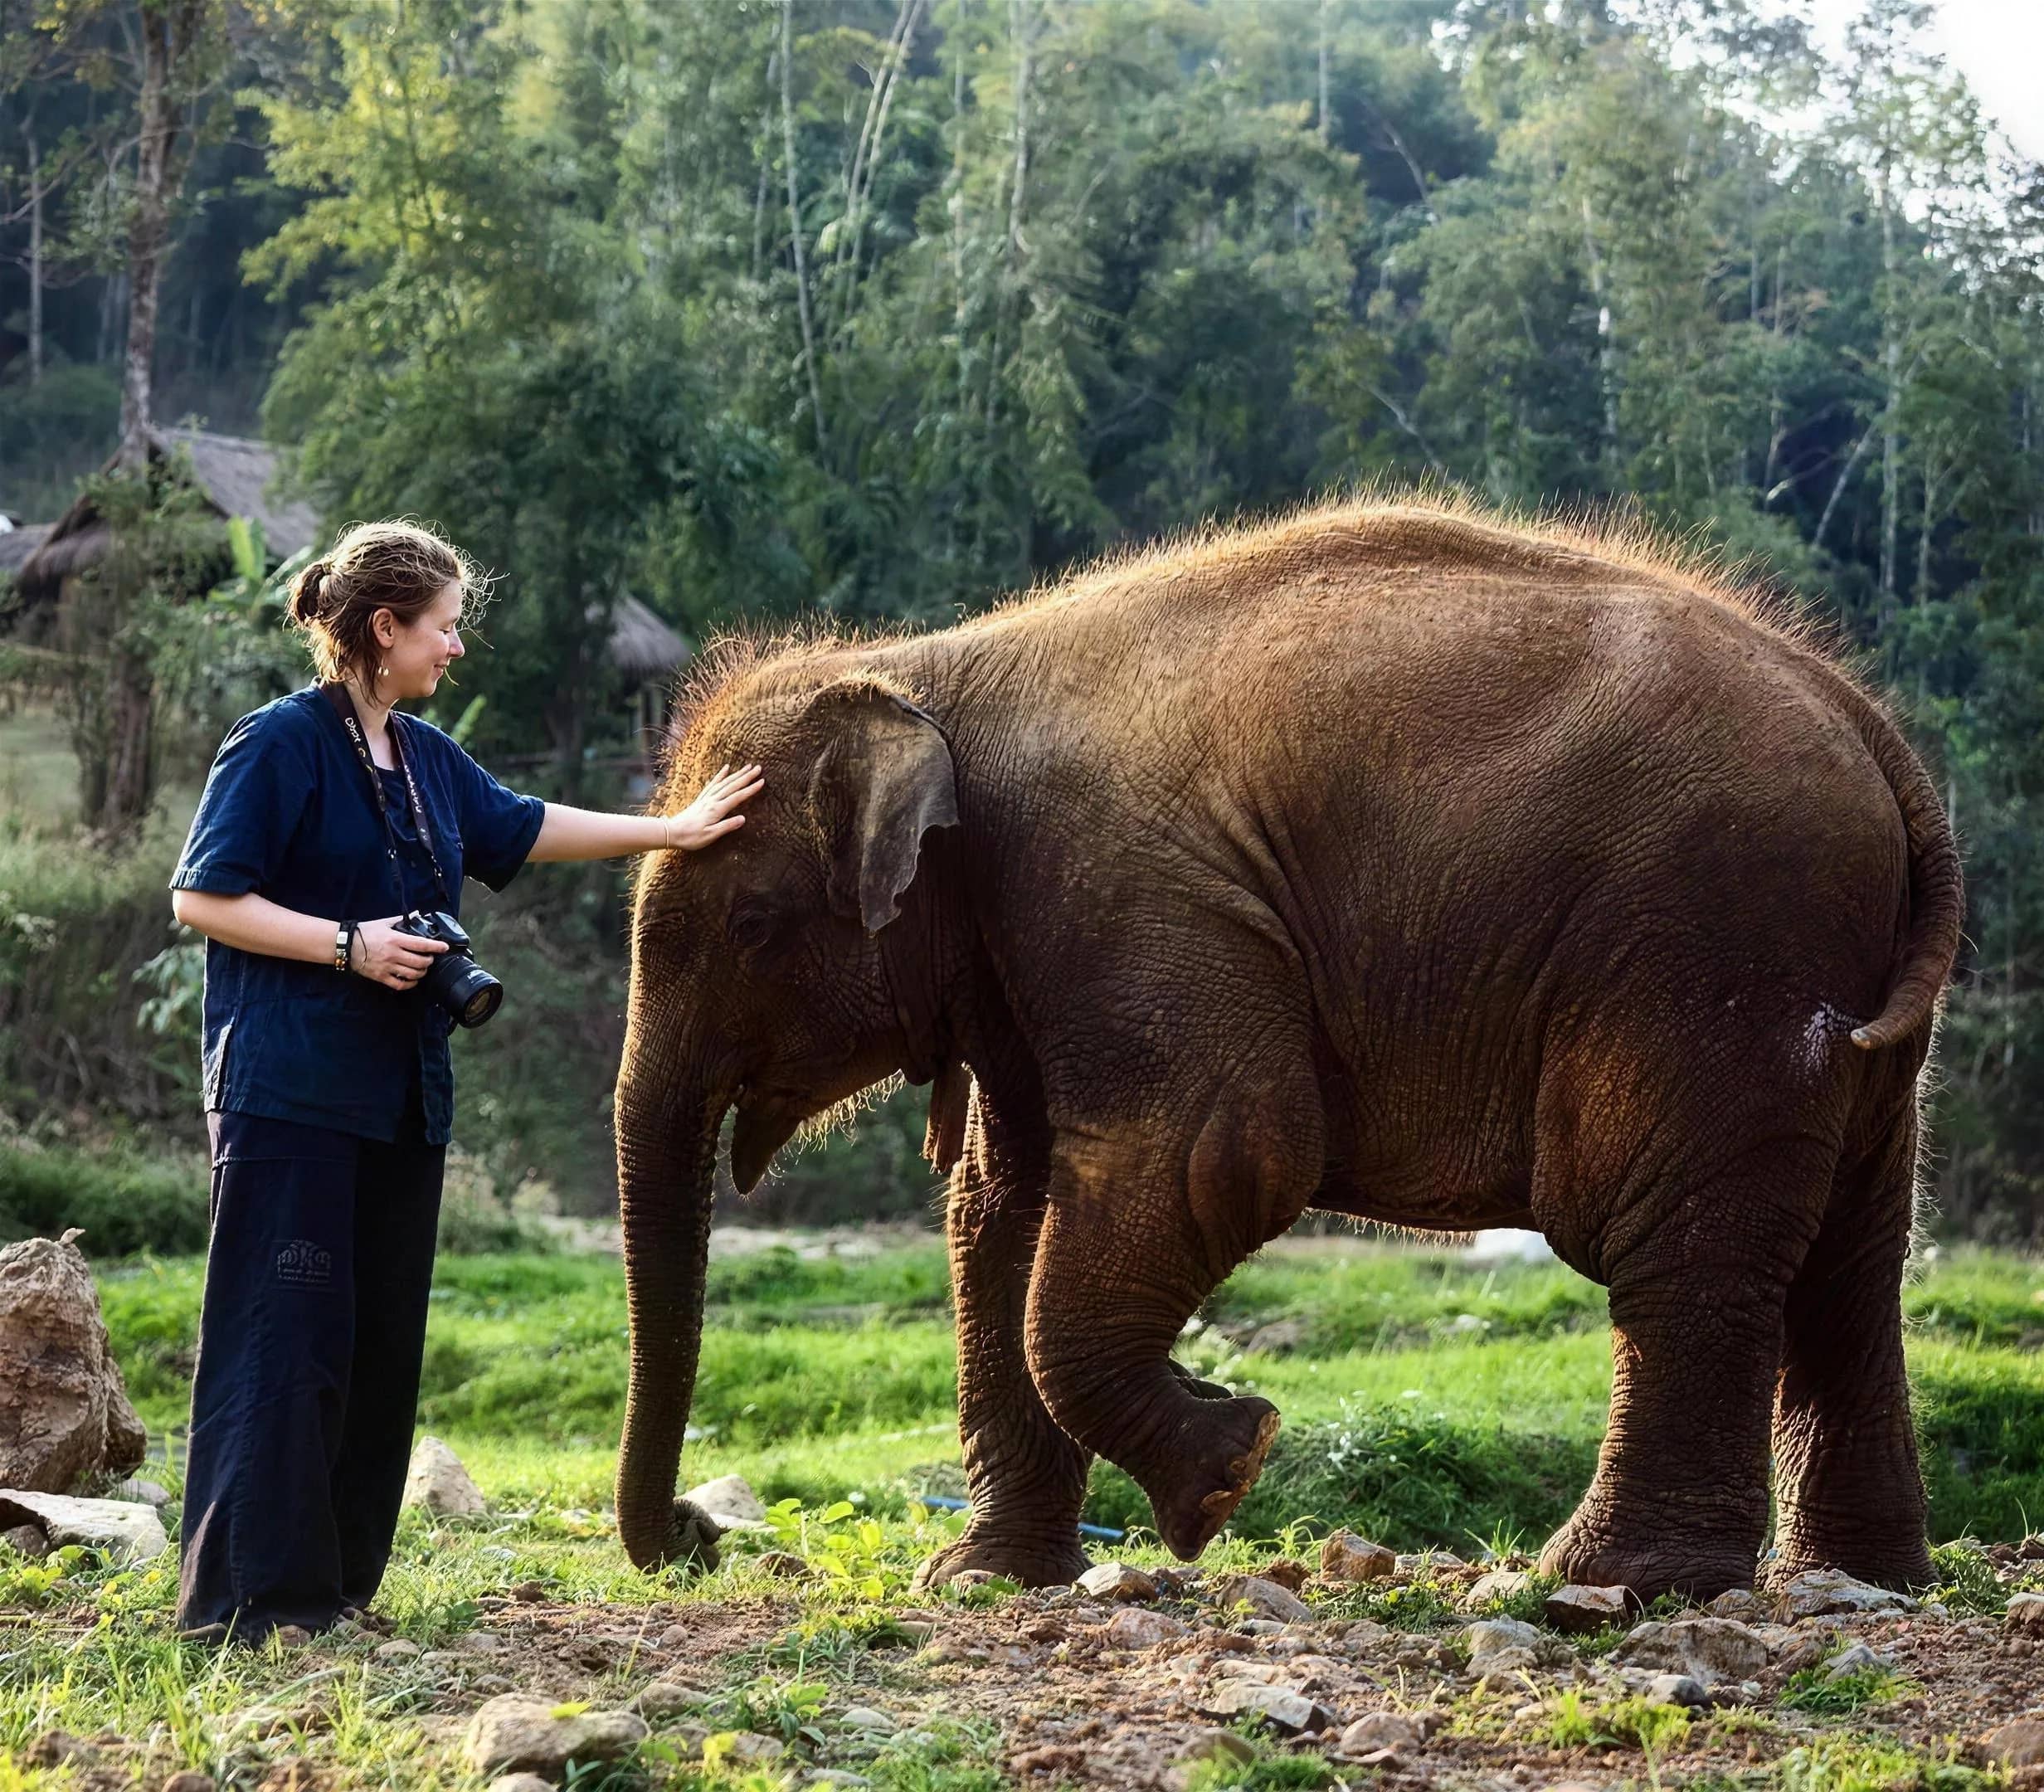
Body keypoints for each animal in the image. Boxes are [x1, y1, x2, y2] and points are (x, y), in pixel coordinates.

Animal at [610, 495, 1962, 1602]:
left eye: (749, 925)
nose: (699, 1538)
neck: (922, 665)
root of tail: (1877, 732)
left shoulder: (1136, 899)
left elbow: (1221, 1153)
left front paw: (1230, 1466)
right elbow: (1003, 1205)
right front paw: (985, 1579)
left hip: (1707, 942)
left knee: (1674, 1239)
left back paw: (1607, 1584)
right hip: (1835, 991)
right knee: (1848, 1264)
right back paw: (1856, 1579)